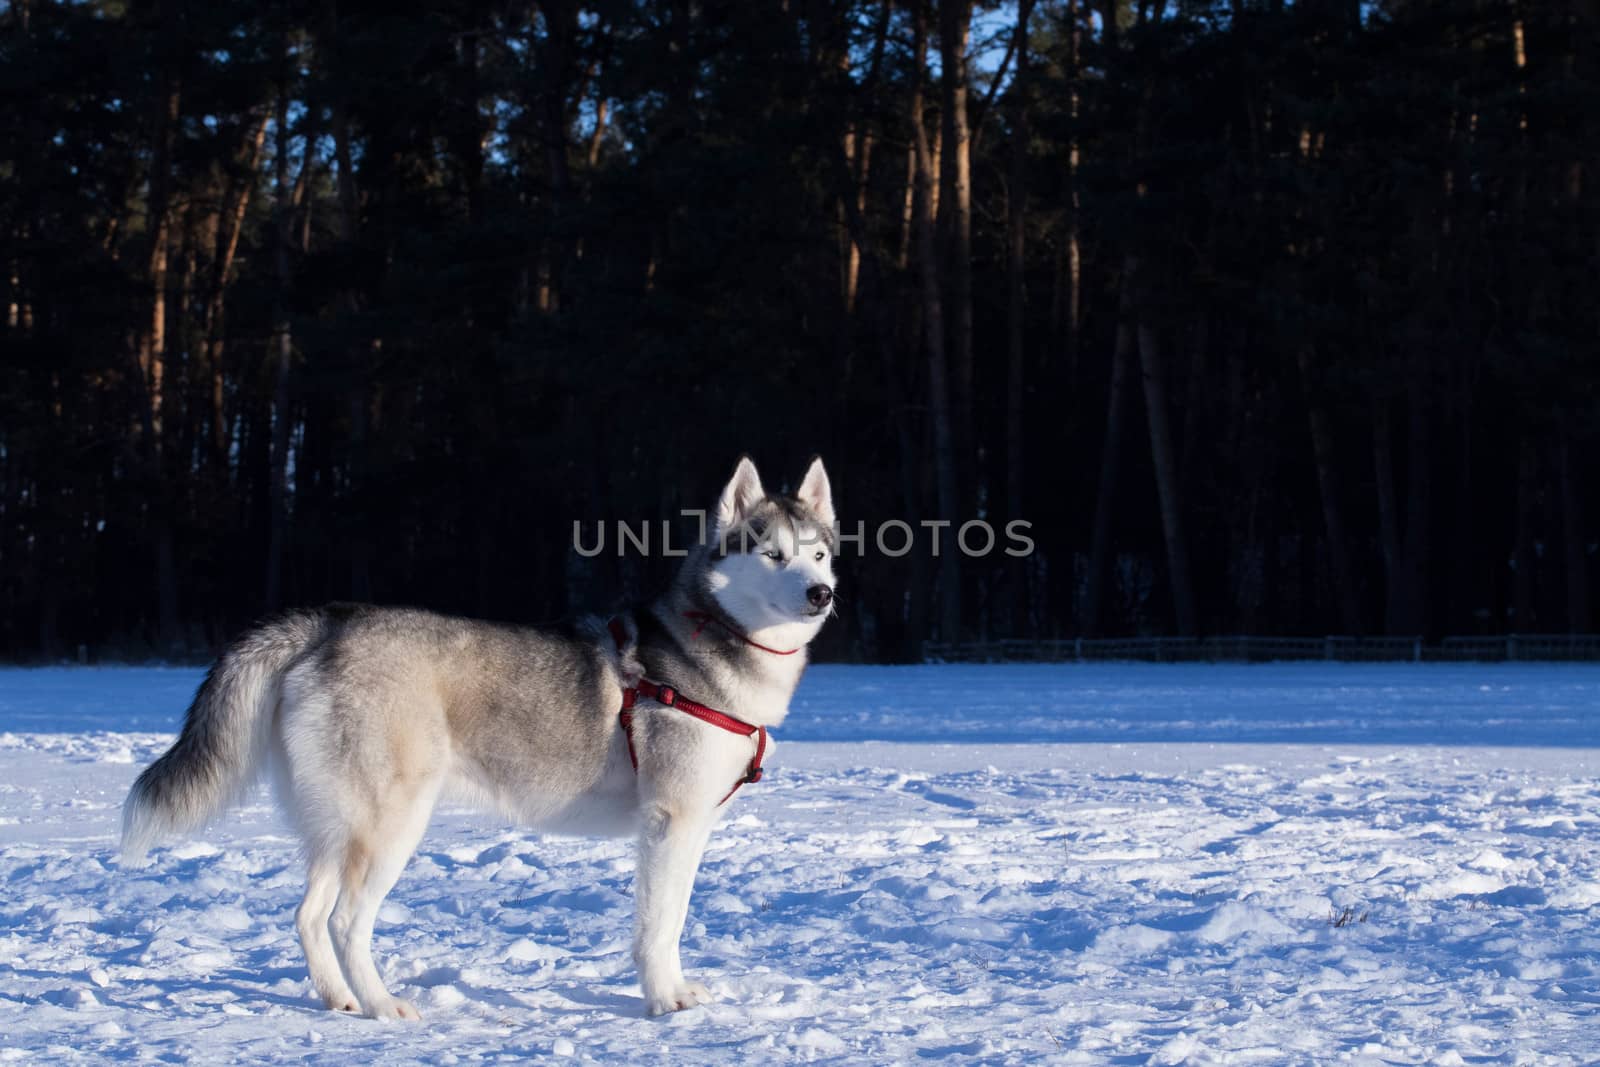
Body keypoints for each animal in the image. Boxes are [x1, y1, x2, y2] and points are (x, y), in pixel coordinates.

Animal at [121, 454, 838, 1023]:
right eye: (772, 554)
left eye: (819, 552)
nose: (820, 592)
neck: (714, 643)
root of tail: (328, 621)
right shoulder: (671, 821)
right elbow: (659, 926)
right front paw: (666, 1001)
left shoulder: (692, 827)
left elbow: (674, 916)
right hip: (391, 824)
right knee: (347, 921)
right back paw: (382, 1004)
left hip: (336, 825)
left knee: (307, 916)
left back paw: (341, 999)